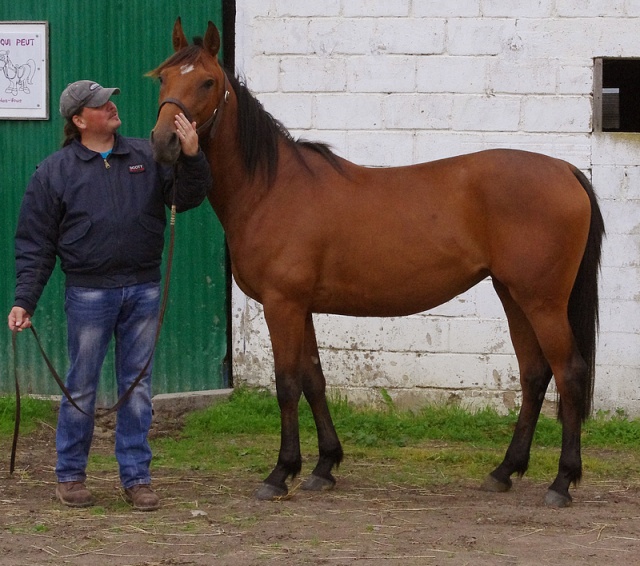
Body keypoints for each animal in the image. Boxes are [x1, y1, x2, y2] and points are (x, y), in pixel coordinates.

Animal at [150, 20, 604, 510]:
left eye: (207, 82)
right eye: (163, 78)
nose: (163, 143)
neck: (271, 189)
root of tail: (565, 170)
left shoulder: (282, 304)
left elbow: (287, 384)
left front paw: (281, 472)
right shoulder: (301, 307)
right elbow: (314, 379)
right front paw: (324, 466)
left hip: (542, 301)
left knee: (569, 373)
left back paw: (562, 481)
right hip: (513, 295)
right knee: (535, 374)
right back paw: (504, 471)